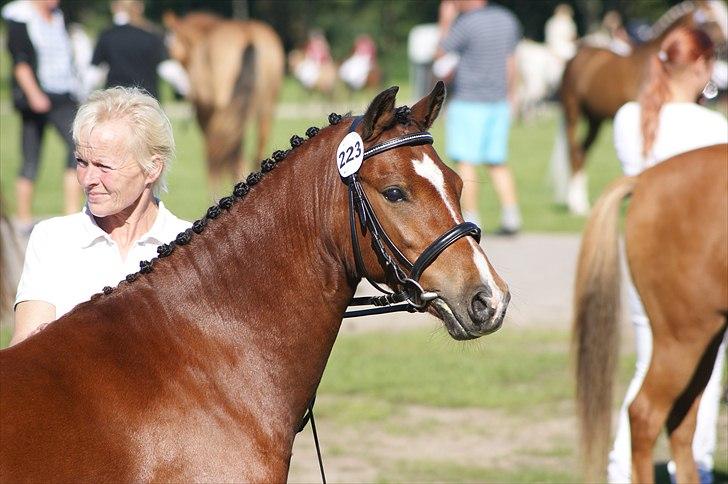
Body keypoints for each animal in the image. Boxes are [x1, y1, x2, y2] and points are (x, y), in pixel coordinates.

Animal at [163, 11, 285, 196]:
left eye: (170, 43)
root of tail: (248, 34)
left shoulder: (206, 115)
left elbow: (216, 158)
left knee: (225, 157)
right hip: (265, 109)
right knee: (254, 153)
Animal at [554, 0, 727, 215]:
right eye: (710, 20)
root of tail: (575, 57)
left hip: (595, 120)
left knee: (582, 152)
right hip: (573, 114)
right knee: (574, 152)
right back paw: (576, 205)